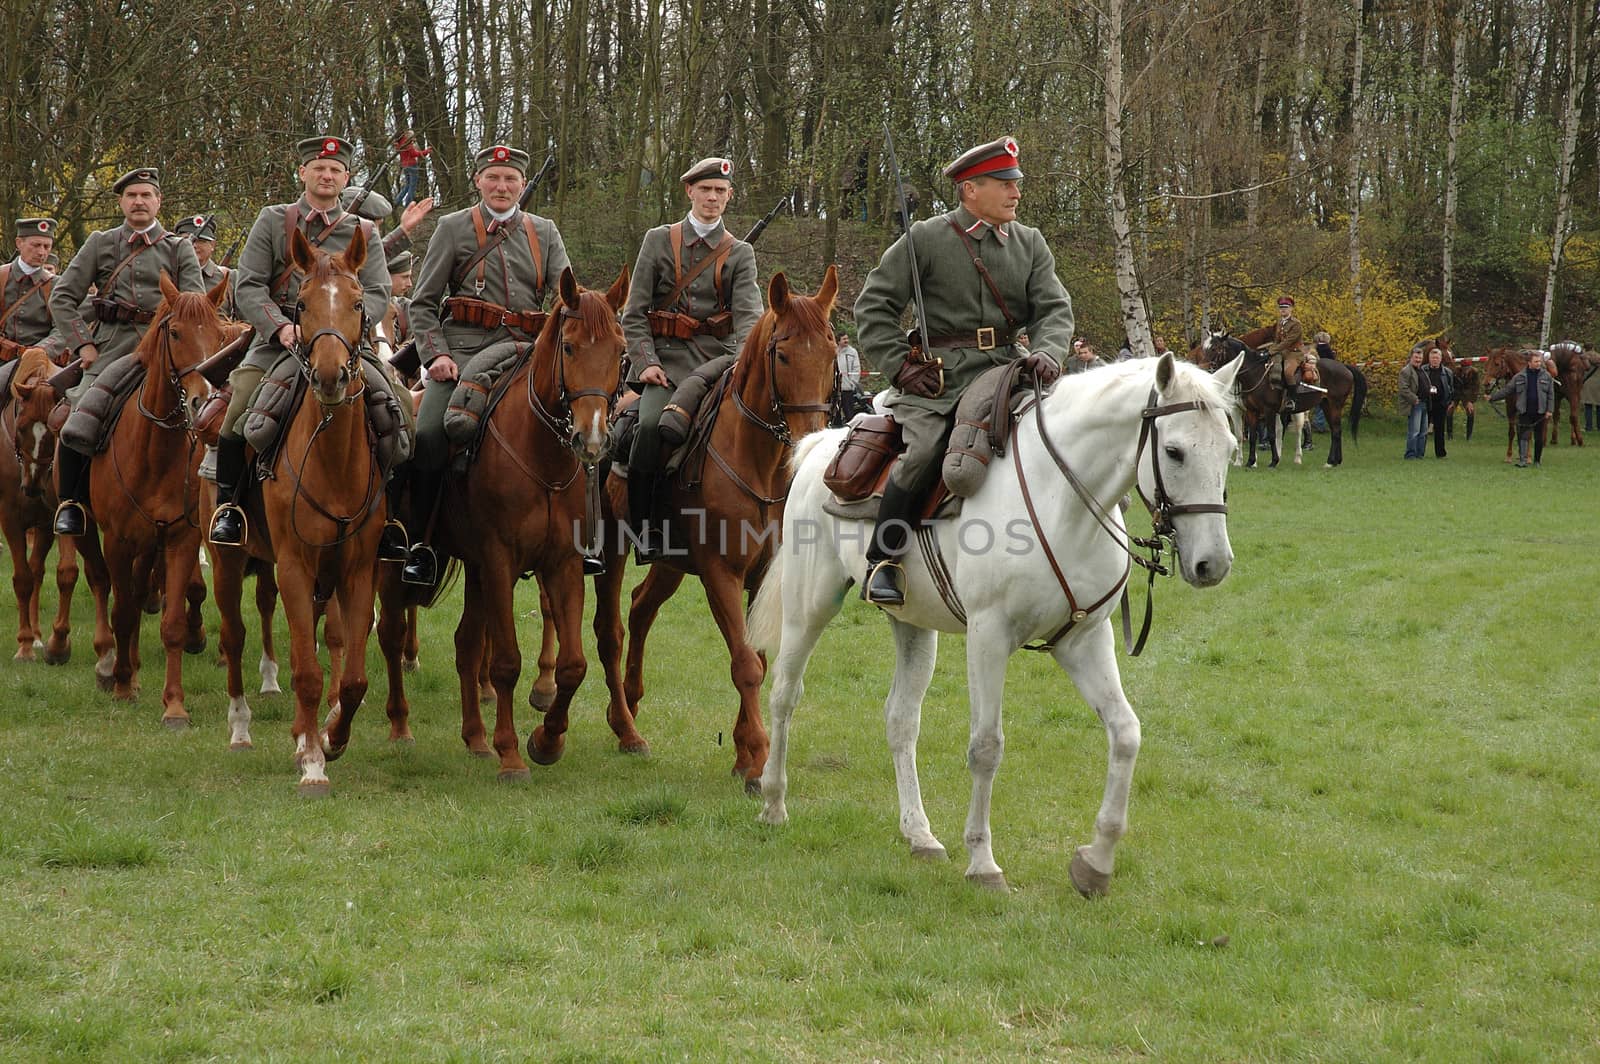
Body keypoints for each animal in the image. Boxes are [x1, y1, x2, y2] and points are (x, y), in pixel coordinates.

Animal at [74, 273, 235, 716]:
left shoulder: (181, 537)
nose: (200, 401)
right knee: (103, 585)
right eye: (175, 332)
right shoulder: (116, 540)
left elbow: (172, 622)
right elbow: (124, 610)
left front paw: (174, 705)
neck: (155, 451)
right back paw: (111, 664)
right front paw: (122, 684)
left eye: (219, 337)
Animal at [390, 265, 627, 780]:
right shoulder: (499, 561)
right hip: (390, 563)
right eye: (569, 347)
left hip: (475, 570)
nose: (592, 438)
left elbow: (574, 665)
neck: (541, 458)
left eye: (621, 350)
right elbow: (505, 662)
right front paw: (512, 754)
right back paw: (398, 726)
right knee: (387, 634)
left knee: (464, 644)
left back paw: (475, 738)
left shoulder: (562, 564)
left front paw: (546, 740)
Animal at [585, 270, 838, 793]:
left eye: (830, 354)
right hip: (613, 549)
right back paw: (625, 728)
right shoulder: (721, 574)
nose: (811, 438)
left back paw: (632, 701)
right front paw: (756, 759)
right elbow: (745, 664)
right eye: (783, 354)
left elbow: (759, 657)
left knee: (641, 607)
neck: (757, 464)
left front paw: (745, 750)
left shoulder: (762, 577)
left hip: (670, 564)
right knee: (610, 630)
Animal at [742, 355, 1241, 896]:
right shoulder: (989, 637)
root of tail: (822, 446)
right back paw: (773, 802)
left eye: (1232, 450)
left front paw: (1096, 861)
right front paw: (983, 863)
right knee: (784, 695)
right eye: (1174, 451)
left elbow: (1126, 733)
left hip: (913, 626)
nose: (1213, 564)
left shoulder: (1084, 640)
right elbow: (986, 747)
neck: (1060, 499)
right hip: (808, 607)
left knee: (901, 719)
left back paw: (919, 834)